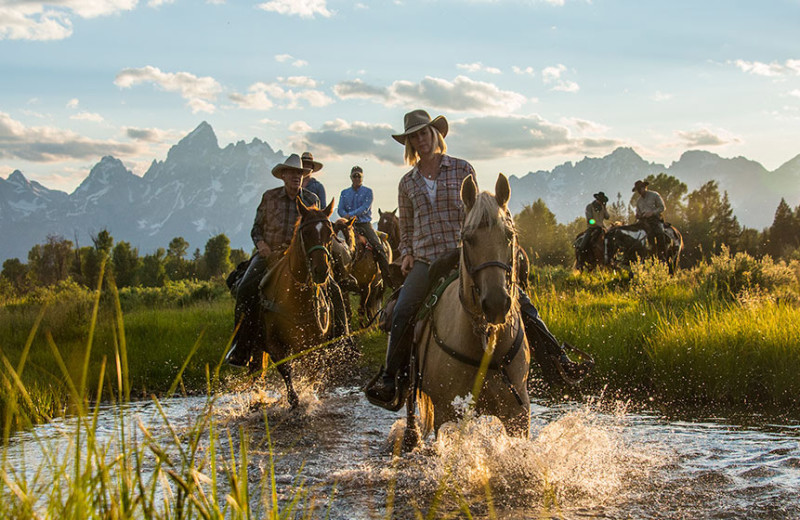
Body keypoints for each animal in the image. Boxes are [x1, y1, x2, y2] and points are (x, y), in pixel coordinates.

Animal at [260, 198, 338, 406]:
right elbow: (286, 370)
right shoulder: (273, 343)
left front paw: (309, 396)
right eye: (307, 232)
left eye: (330, 233)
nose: (321, 271)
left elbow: (312, 372)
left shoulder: (315, 343)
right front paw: (294, 400)